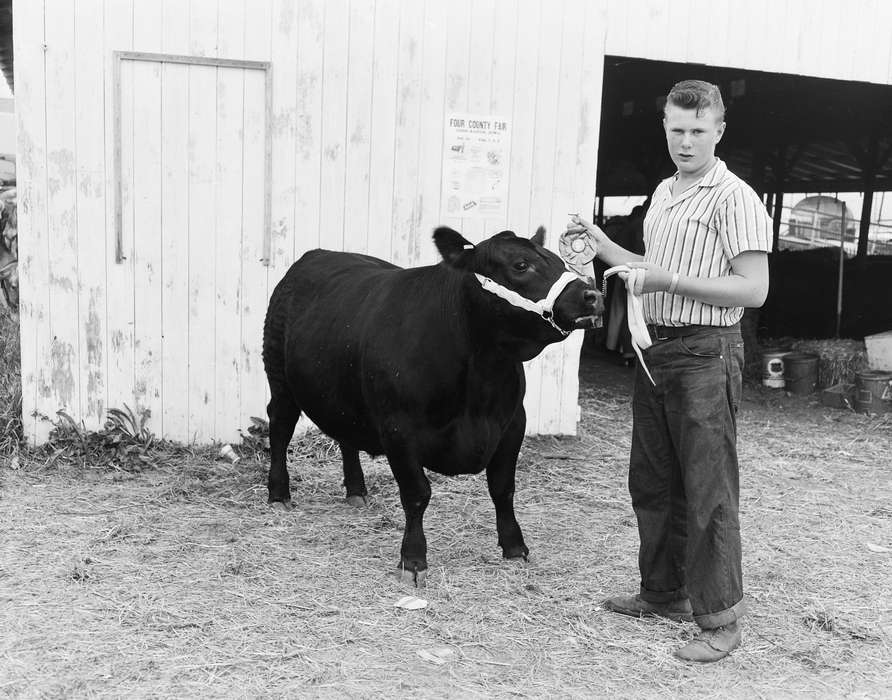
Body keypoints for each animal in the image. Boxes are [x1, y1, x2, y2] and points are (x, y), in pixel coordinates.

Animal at [262, 226, 603, 585]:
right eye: (521, 265)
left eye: (559, 260)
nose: (592, 295)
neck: (480, 380)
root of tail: (318, 254)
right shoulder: (398, 428)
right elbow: (417, 494)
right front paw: (413, 560)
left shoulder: (513, 423)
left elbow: (503, 488)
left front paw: (514, 546)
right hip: (279, 378)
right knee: (280, 429)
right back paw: (279, 495)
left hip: (342, 389)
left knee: (345, 436)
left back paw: (356, 491)